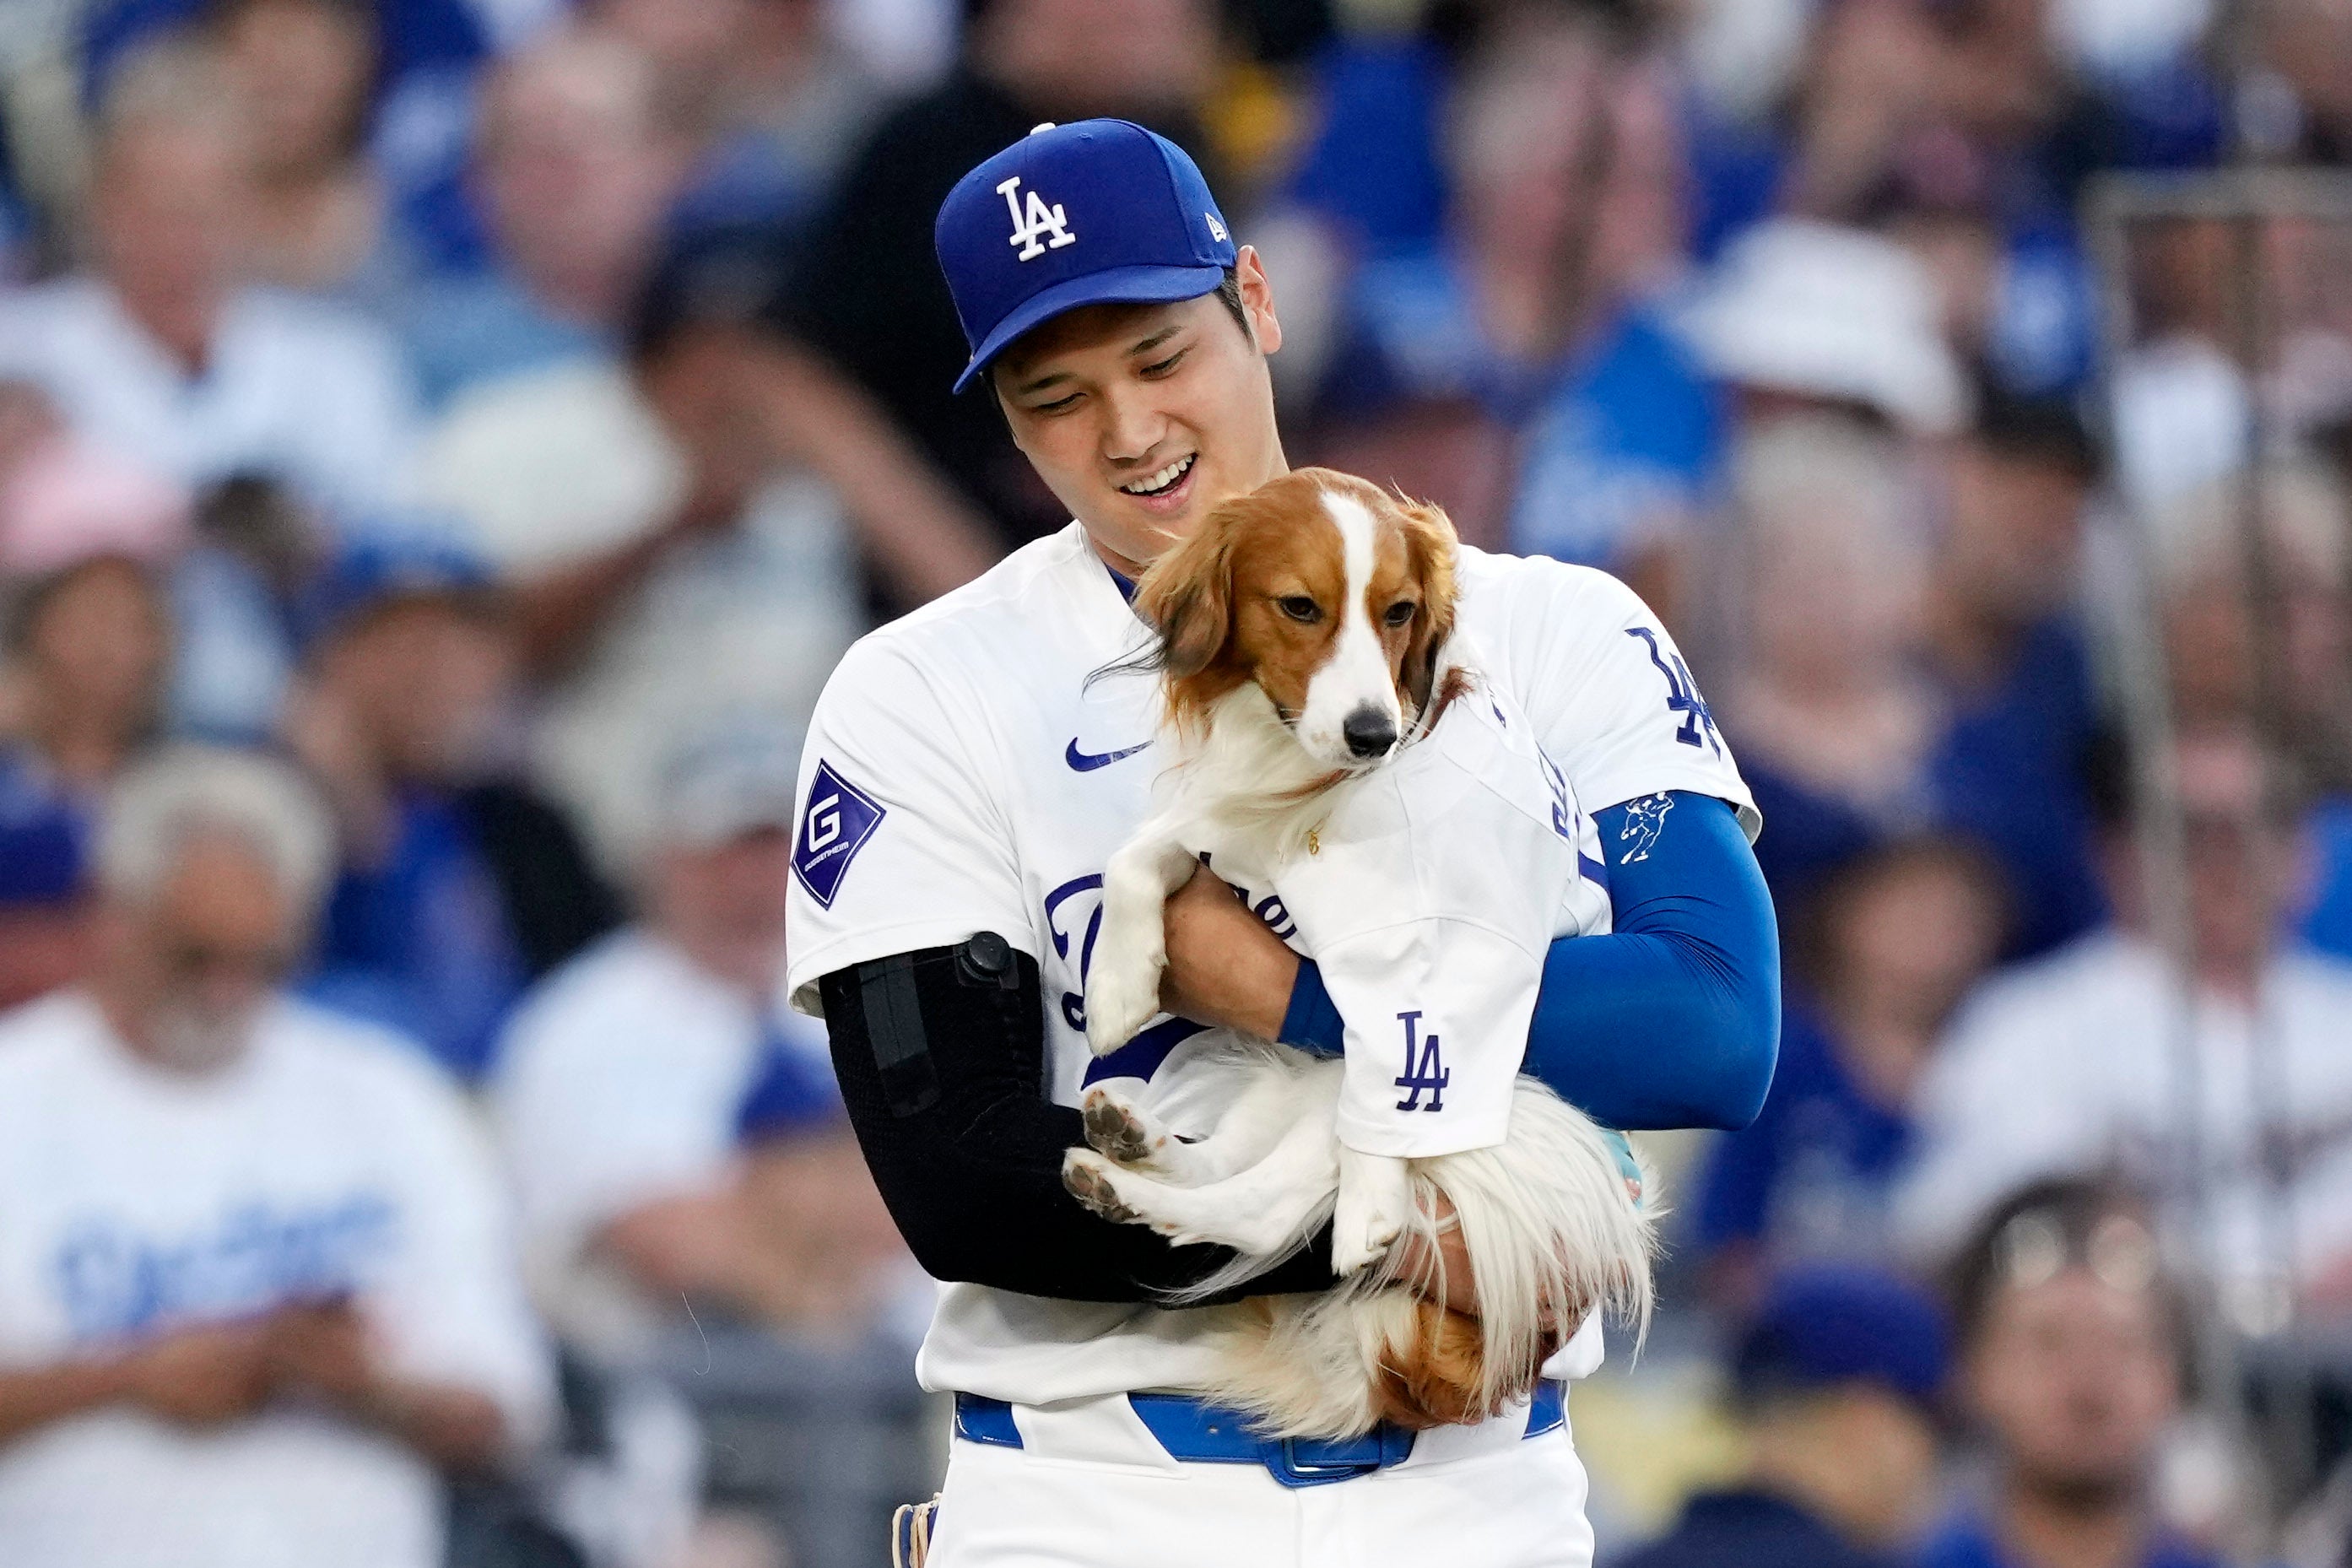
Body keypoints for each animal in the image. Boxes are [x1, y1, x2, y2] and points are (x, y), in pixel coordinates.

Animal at [1068, 470, 1656, 1447]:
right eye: (1300, 607)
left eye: (1400, 611)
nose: (1373, 732)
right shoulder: (1231, 830)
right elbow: (1140, 852)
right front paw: (1118, 980)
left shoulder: (1451, 953)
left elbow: (1405, 1056)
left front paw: (1373, 1209)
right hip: (1290, 1081)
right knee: (1228, 1166)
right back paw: (1128, 1148)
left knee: (1264, 1209)